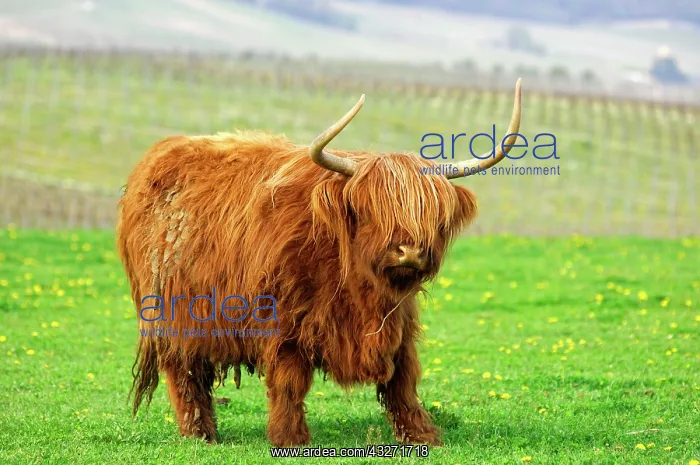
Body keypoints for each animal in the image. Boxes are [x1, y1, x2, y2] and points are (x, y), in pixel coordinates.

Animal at [116, 79, 522, 447]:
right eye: (369, 210)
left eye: (431, 215)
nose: (409, 252)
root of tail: (160, 155)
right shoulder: (284, 322)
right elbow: (289, 382)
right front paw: (290, 438)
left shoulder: (400, 323)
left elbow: (403, 379)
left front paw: (422, 435)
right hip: (171, 313)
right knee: (183, 371)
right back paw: (200, 433)